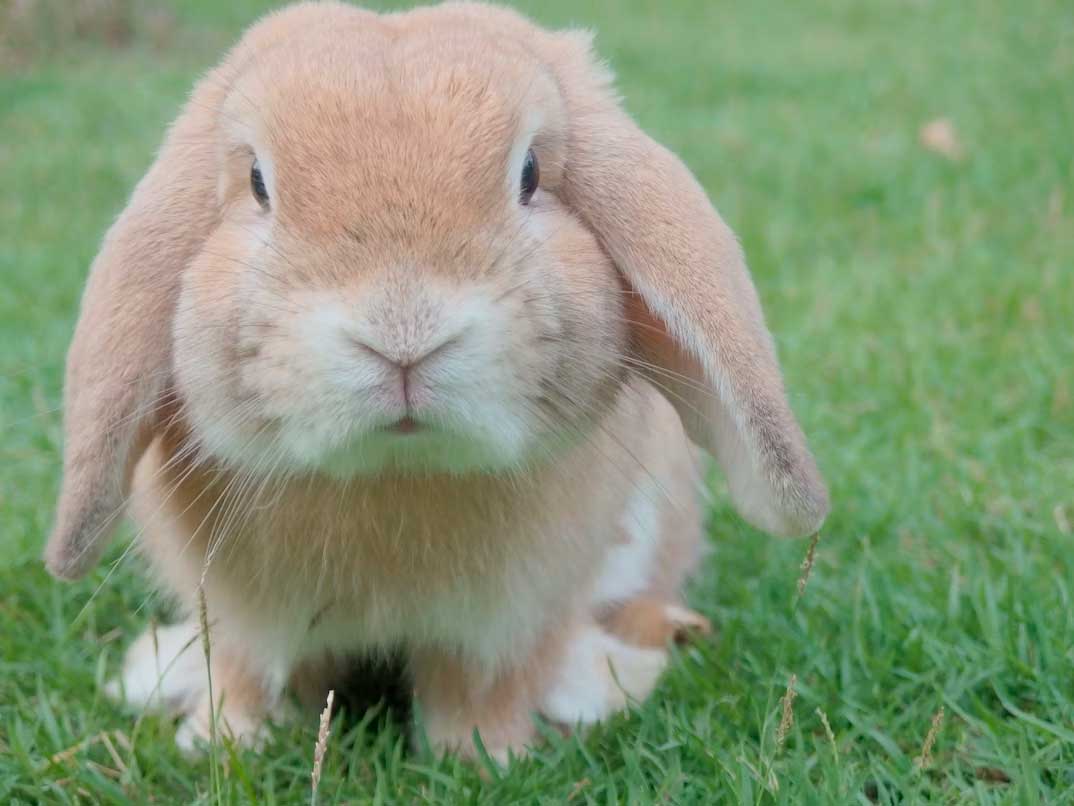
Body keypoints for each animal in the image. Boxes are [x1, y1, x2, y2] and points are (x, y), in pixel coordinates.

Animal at [45, 1, 829, 761]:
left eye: (530, 174)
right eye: (259, 185)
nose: (403, 333)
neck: (396, 473)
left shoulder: (506, 623)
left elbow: (478, 689)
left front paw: (485, 758)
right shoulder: (241, 618)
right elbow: (247, 675)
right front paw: (221, 742)